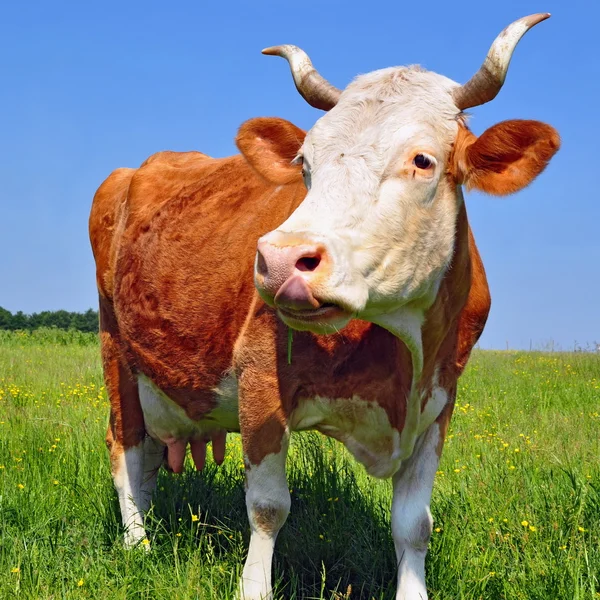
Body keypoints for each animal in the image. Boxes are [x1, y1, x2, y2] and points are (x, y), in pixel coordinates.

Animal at [88, 14, 556, 600]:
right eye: (304, 164)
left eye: (422, 160)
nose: (281, 260)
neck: (402, 353)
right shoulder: (261, 377)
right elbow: (267, 507)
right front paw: (254, 589)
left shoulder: (440, 400)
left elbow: (414, 524)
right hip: (115, 349)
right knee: (125, 448)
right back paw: (139, 545)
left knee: (149, 456)